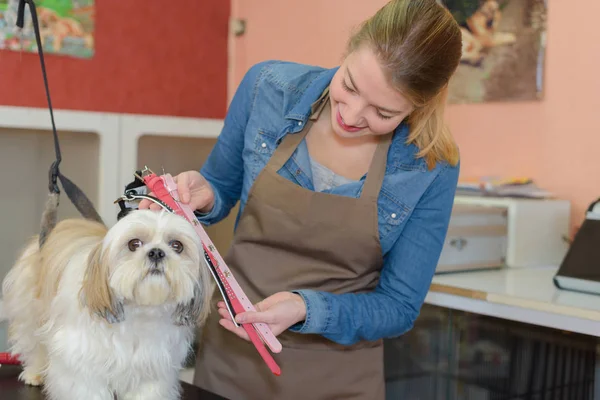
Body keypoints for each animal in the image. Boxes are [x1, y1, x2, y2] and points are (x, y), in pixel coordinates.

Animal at [1, 209, 213, 400]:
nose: (157, 252)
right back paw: (34, 373)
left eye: (177, 245)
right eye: (134, 244)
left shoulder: (152, 366)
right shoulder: (82, 362)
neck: (137, 312)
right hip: (30, 313)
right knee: (33, 344)